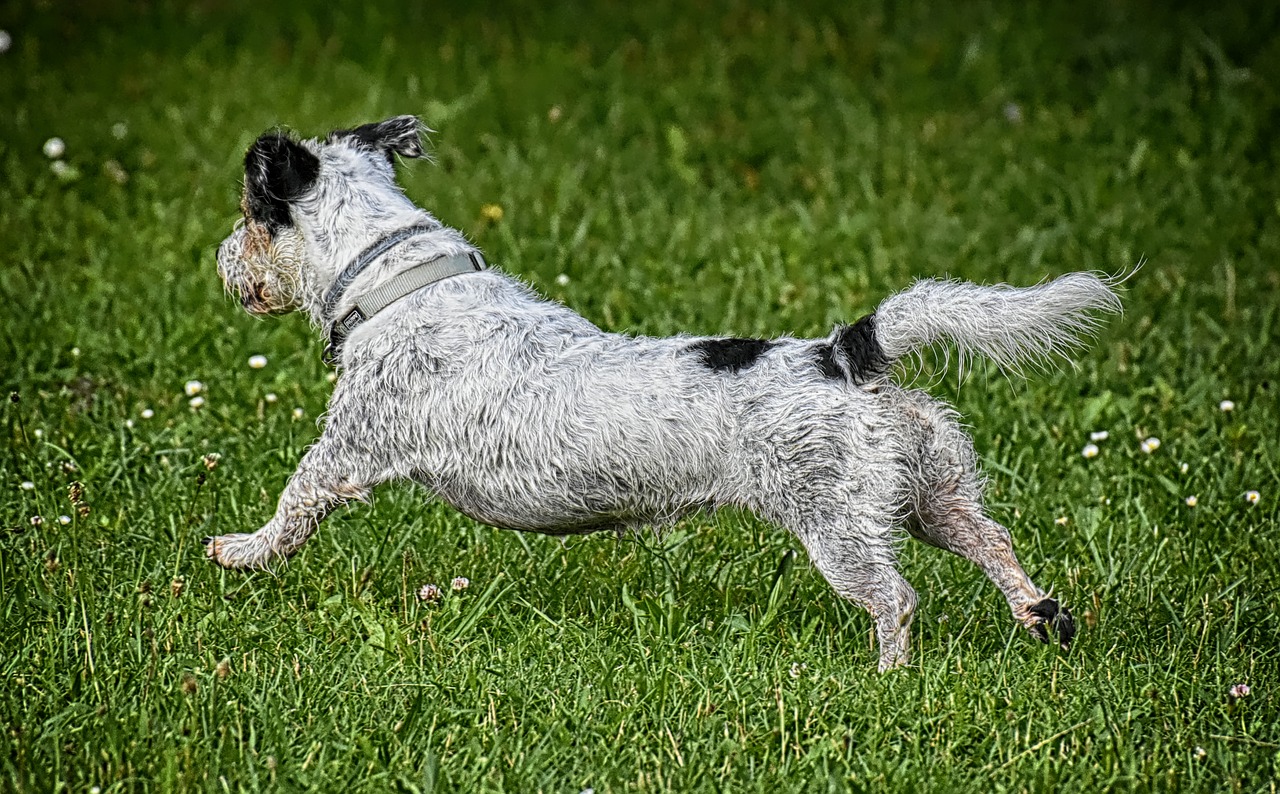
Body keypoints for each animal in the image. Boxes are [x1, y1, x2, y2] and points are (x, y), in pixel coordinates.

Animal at [215, 113, 1126, 671]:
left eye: (250, 213)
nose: (219, 259)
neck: (400, 283)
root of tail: (844, 355)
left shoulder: (349, 448)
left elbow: (293, 503)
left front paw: (240, 551)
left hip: (838, 525)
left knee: (896, 600)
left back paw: (889, 677)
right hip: (931, 495)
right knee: (995, 544)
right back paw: (1040, 616)